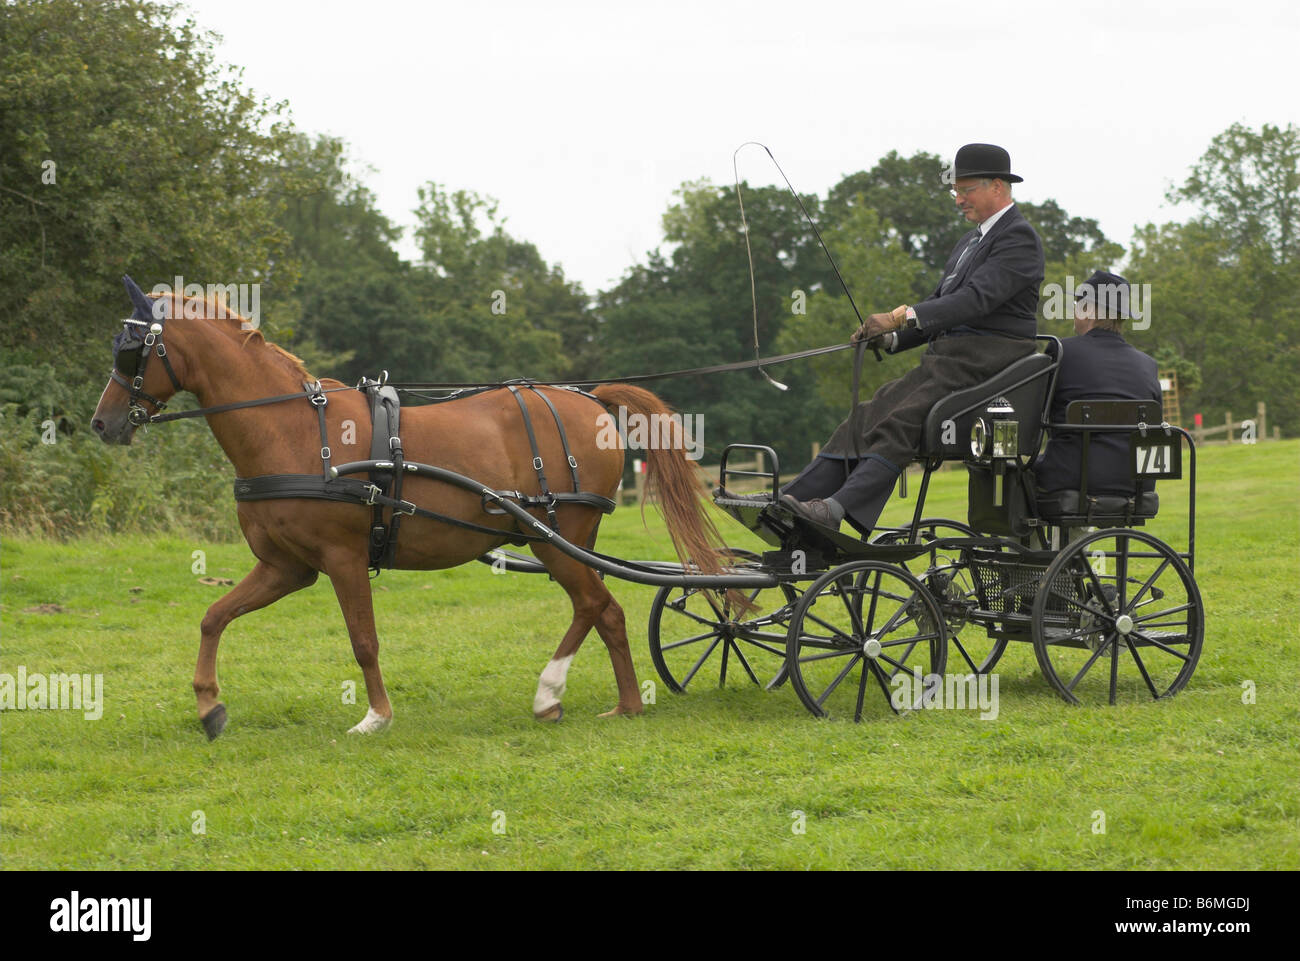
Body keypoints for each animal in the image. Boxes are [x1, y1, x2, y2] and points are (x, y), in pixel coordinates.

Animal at [91, 282, 733, 738]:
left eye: (132, 351)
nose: (102, 423)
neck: (295, 431)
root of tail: (590, 400)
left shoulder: (343, 558)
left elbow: (363, 640)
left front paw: (375, 716)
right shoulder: (286, 568)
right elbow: (213, 617)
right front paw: (209, 706)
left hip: (556, 534)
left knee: (601, 607)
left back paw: (591, 698)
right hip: (553, 539)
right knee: (597, 608)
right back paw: (583, 700)